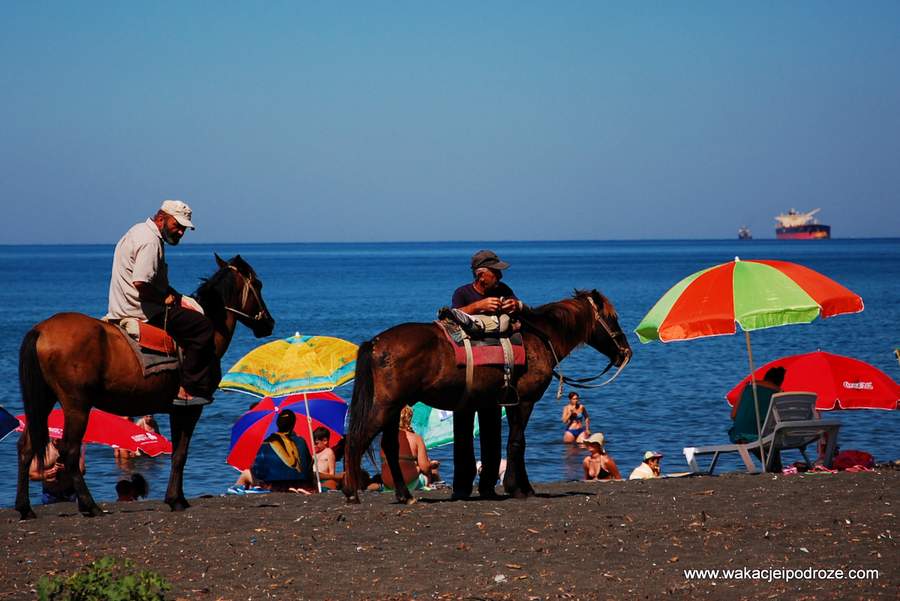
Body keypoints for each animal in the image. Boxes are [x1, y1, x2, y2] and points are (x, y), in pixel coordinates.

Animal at [14, 253, 274, 516]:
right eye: (259, 284)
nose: (269, 323)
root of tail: (41, 330)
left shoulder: (177, 410)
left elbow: (177, 453)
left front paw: (176, 497)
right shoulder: (190, 408)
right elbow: (180, 454)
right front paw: (176, 499)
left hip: (44, 400)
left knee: (26, 447)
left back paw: (25, 507)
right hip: (76, 404)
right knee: (70, 449)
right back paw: (89, 505)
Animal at [344, 290, 632, 502]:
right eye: (612, 317)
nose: (626, 352)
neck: (540, 338)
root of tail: (376, 343)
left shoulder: (510, 402)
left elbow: (516, 442)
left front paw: (521, 486)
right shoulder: (525, 401)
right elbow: (517, 443)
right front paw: (518, 488)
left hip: (395, 408)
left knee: (389, 447)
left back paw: (405, 495)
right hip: (386, 405)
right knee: (356, 439)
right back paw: (351, 493)